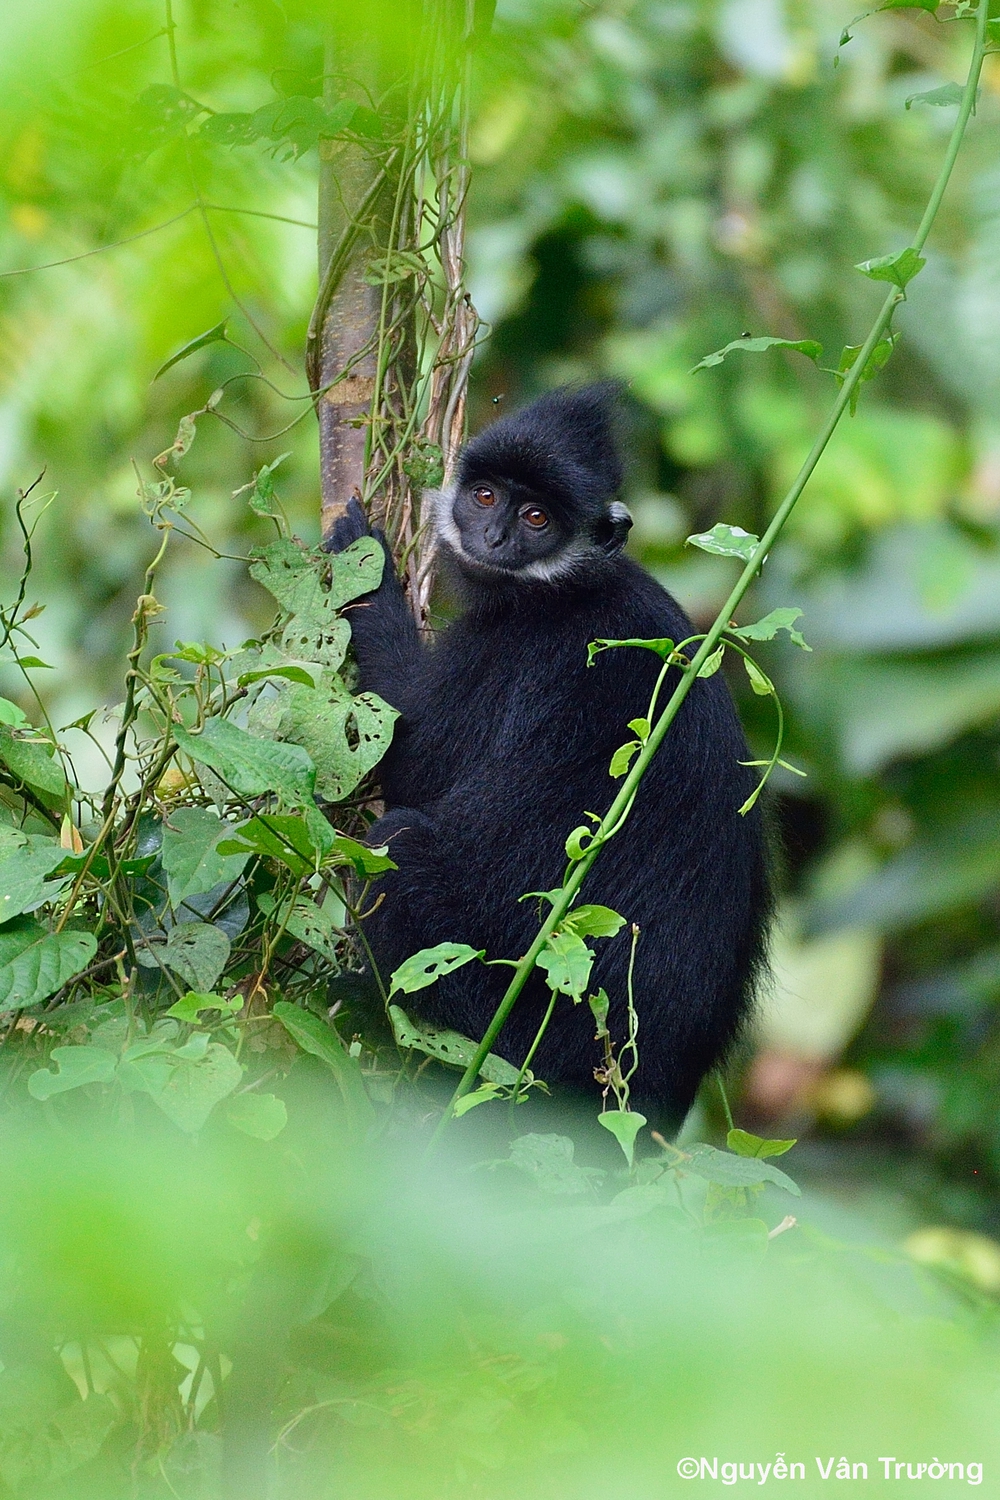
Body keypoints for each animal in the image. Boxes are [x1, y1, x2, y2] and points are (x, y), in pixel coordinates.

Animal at [332, 387, 773, 1128]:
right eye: (484, 496)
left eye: (536, 517)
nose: (493, 540)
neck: (567, 589)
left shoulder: (517, 649)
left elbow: (409, 753)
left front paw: (367, 572)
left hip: (506, 1039)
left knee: (402, 842)